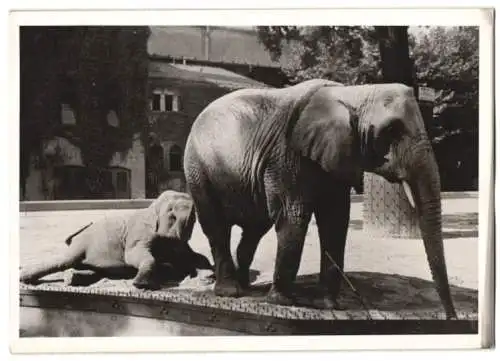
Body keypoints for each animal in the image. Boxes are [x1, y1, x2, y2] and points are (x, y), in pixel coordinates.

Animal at [20, 190, 213, 288]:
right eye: (171, 213)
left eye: (194, 218)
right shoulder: (139, 232)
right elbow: (133, 255)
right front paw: (140, 284)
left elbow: (192, 256)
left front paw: (208, 275)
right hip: (81, 244)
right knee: (65, 260)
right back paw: (26, 278)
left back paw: (74, 278)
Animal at [184, 78, 458, 318]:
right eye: (392, 130)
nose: (451, 317)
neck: (353, 94)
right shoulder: (287, 156)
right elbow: (293, 216)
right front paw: (282, 302)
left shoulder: (336, 158)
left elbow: (335, 220)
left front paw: (328, 305)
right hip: (198, 168)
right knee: (216, 226)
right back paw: (230, 292)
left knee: (255, 228)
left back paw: (245, 287)